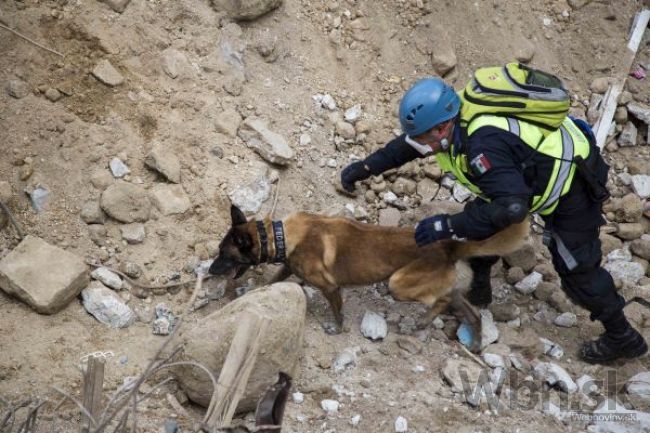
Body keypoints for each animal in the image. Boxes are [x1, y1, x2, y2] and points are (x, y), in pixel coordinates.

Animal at [210, 206, 528, 340]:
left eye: (224, 255)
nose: (211, 270)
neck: (280, 234)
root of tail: (447, 244)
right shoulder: (289, 266)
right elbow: (275, 278)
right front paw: (257, 290)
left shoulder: (330, 287)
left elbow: (338, 312)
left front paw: (337, 330)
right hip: (444, 288)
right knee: (470, 311)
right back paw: (474, 342)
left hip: (398, 284)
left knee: (441, 300)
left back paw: (422, 322)